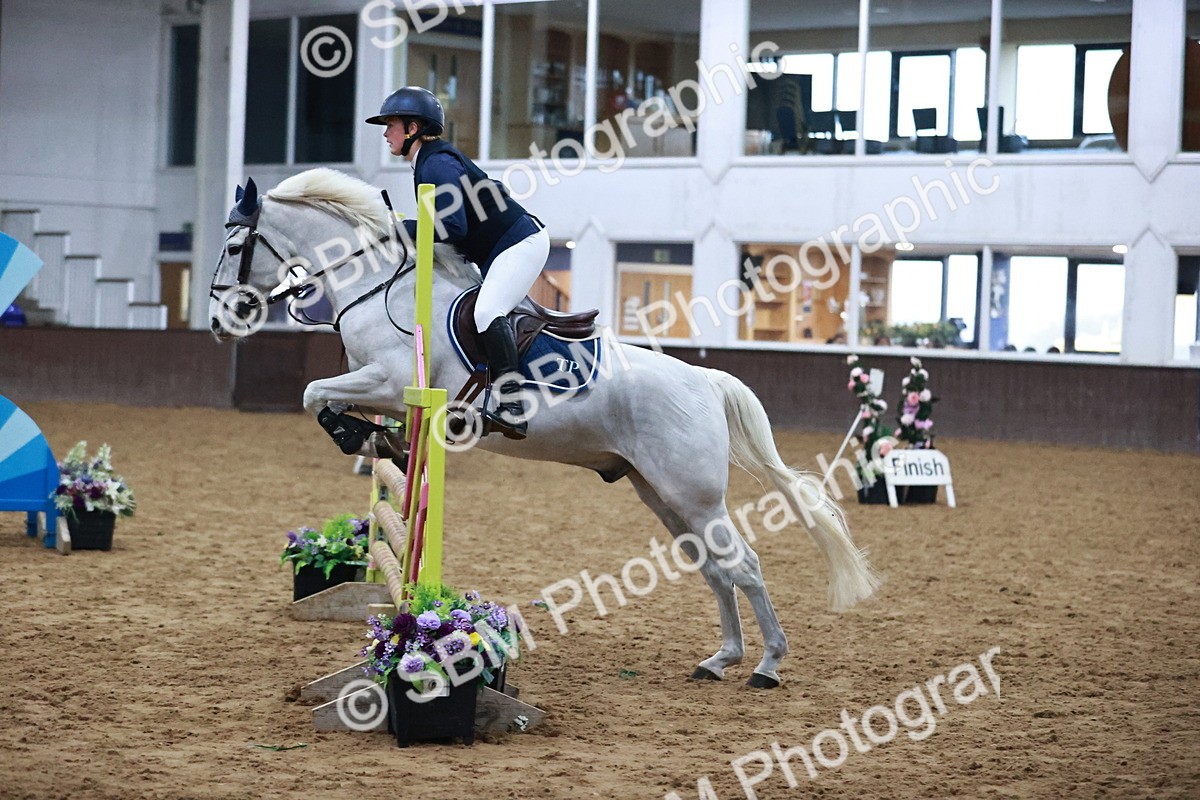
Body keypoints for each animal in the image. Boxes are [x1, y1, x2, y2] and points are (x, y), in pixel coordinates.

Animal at [207, 168, 880, 688]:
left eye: (235, 244)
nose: (220, 319)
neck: (377, 288)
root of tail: (704, 381)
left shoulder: (389, 380)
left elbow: (313, 394)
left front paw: (357, 435)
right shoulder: (385, 389)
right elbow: (329, 404)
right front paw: (376, 440)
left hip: (694, 495)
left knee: (745, 565)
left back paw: (767, 665)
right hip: (660, 493)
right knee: (716, 569)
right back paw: (722, 659)